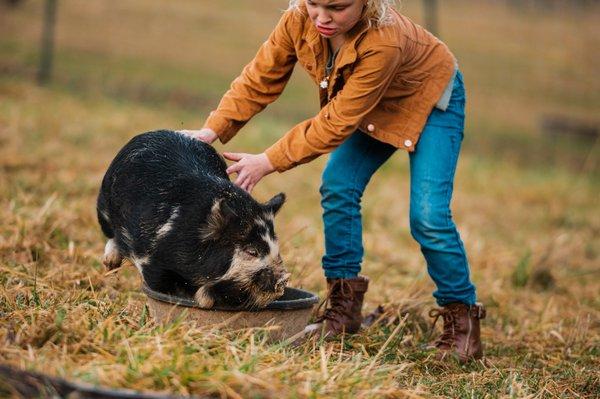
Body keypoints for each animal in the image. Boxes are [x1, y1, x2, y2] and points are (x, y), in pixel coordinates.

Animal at [96, 131, 288, 310]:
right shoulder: (148, 258)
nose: (284, 277)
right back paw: (110, 265)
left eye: (276, 246)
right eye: (252, 251)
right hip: (103, 205)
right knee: (111, 235)